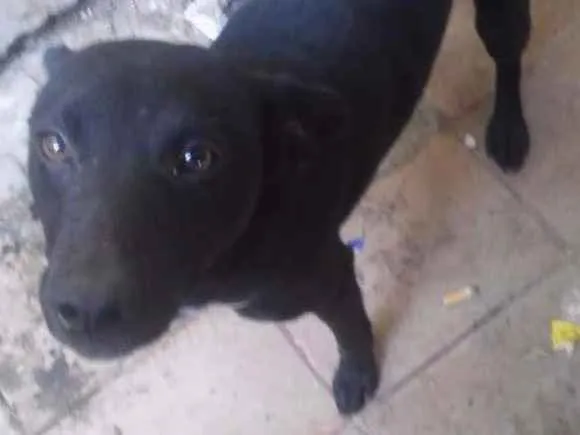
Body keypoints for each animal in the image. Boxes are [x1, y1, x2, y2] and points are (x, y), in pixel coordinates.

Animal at [27, 0, 531, 415]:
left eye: (197, 158)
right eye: (52, 145)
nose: (86, 312)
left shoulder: (329, 276)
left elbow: (351, 331)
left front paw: (357, 376)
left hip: (500, 18)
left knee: (507, 54)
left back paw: (509, 127)